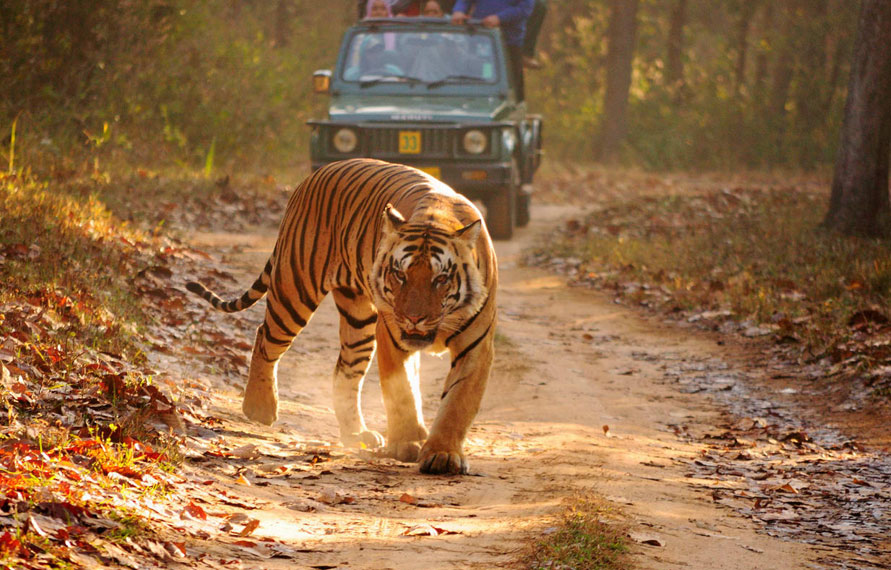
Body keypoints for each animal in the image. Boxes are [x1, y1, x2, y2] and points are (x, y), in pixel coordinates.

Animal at [186, 158, 498, 472]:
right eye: (400, 275)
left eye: (440, 279)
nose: (413, 318)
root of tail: (315, 175)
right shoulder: (392, 337)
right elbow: (402, 393)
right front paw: (406, 443)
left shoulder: (476, 346)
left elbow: (458, 402)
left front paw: (442, 454)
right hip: (295, 289)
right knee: (265, 337)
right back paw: (260, 407)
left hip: (358, 320)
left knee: (344, 372)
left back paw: (356, 434)